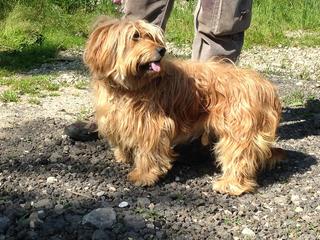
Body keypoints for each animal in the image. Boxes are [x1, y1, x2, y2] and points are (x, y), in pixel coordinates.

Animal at [84, 18, 284, 195]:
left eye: (154, 37)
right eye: (135, 36)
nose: (162, 50)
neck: (127, 87)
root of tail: (265, 86)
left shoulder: (152, 125)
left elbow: (149, 152)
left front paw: (144, 175)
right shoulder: (117, 118)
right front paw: (124, 156)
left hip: (238, 130)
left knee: (239, 157)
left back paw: (230, 184)